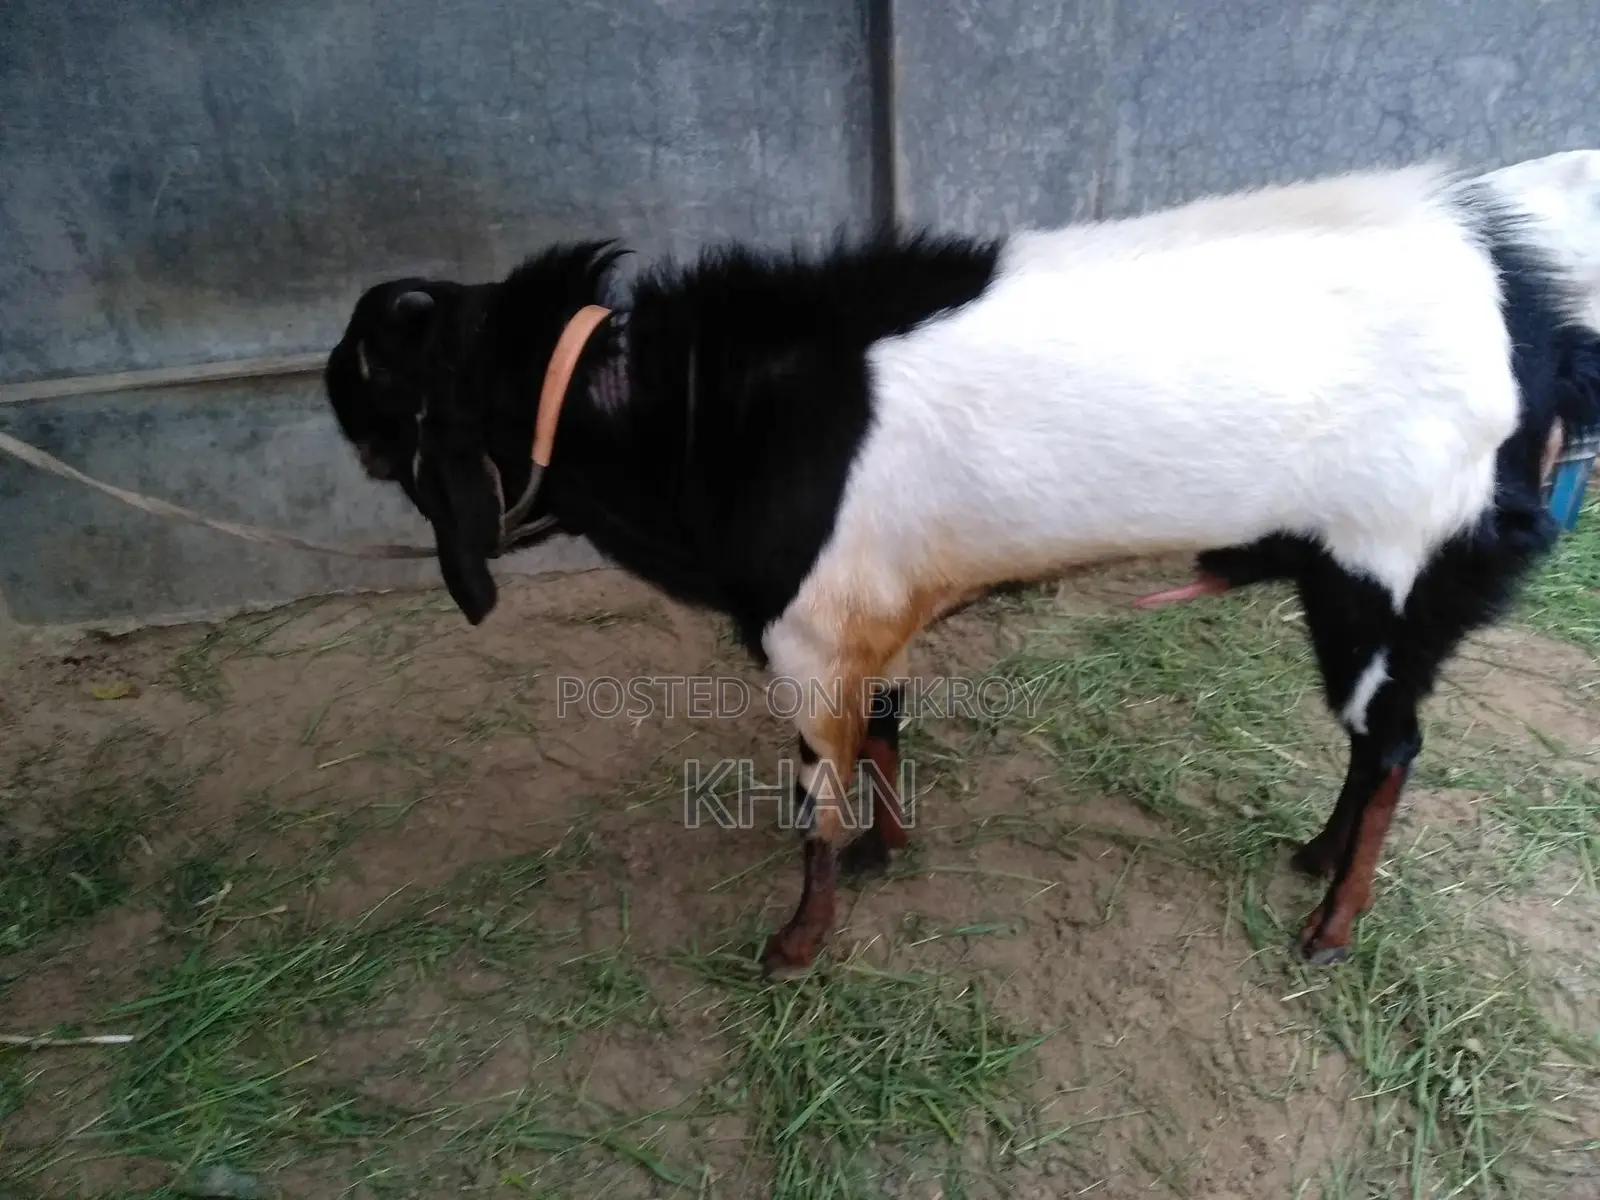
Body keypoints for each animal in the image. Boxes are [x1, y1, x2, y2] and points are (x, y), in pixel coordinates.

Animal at [323, 158, 1600, 978]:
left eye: (386, 363)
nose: (331, 382)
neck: (692, 414)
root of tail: (1535, 327)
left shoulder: (809, 633)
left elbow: (814, 795)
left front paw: (796, 946)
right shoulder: (869, 616)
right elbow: (887, 730)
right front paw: (887, 857)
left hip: (1386, 576)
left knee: (1390, 746)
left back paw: (1331, 927)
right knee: (1373, 745)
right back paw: (1312, 858)